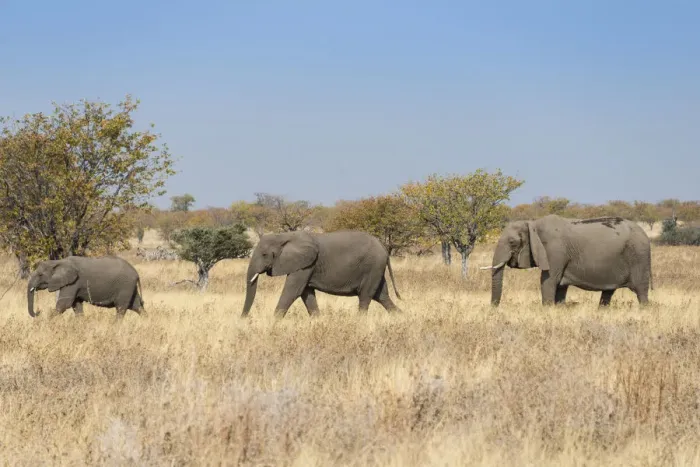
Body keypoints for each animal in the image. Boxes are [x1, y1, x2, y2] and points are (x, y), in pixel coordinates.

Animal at [241, 230, 402, 318]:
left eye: (264, 254)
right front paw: (317, 320)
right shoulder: (305, 265)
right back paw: (400, 317)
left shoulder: (306, 264)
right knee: (381, 296)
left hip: (372, 266)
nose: (244, 319)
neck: (283, 236)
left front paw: (274, 322)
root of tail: (383, 247)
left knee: (365, 296)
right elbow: (306, 293)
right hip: (375, 269)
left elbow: (293, 291)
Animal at [482, 215, 652, 307]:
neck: (533, 223)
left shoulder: (555, 251)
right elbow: (560, 287)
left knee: (641, 291)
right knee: (608, 292)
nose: (494, 309)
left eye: (512, 242)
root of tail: (644, 234)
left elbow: (549, 281)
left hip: (639, 256)